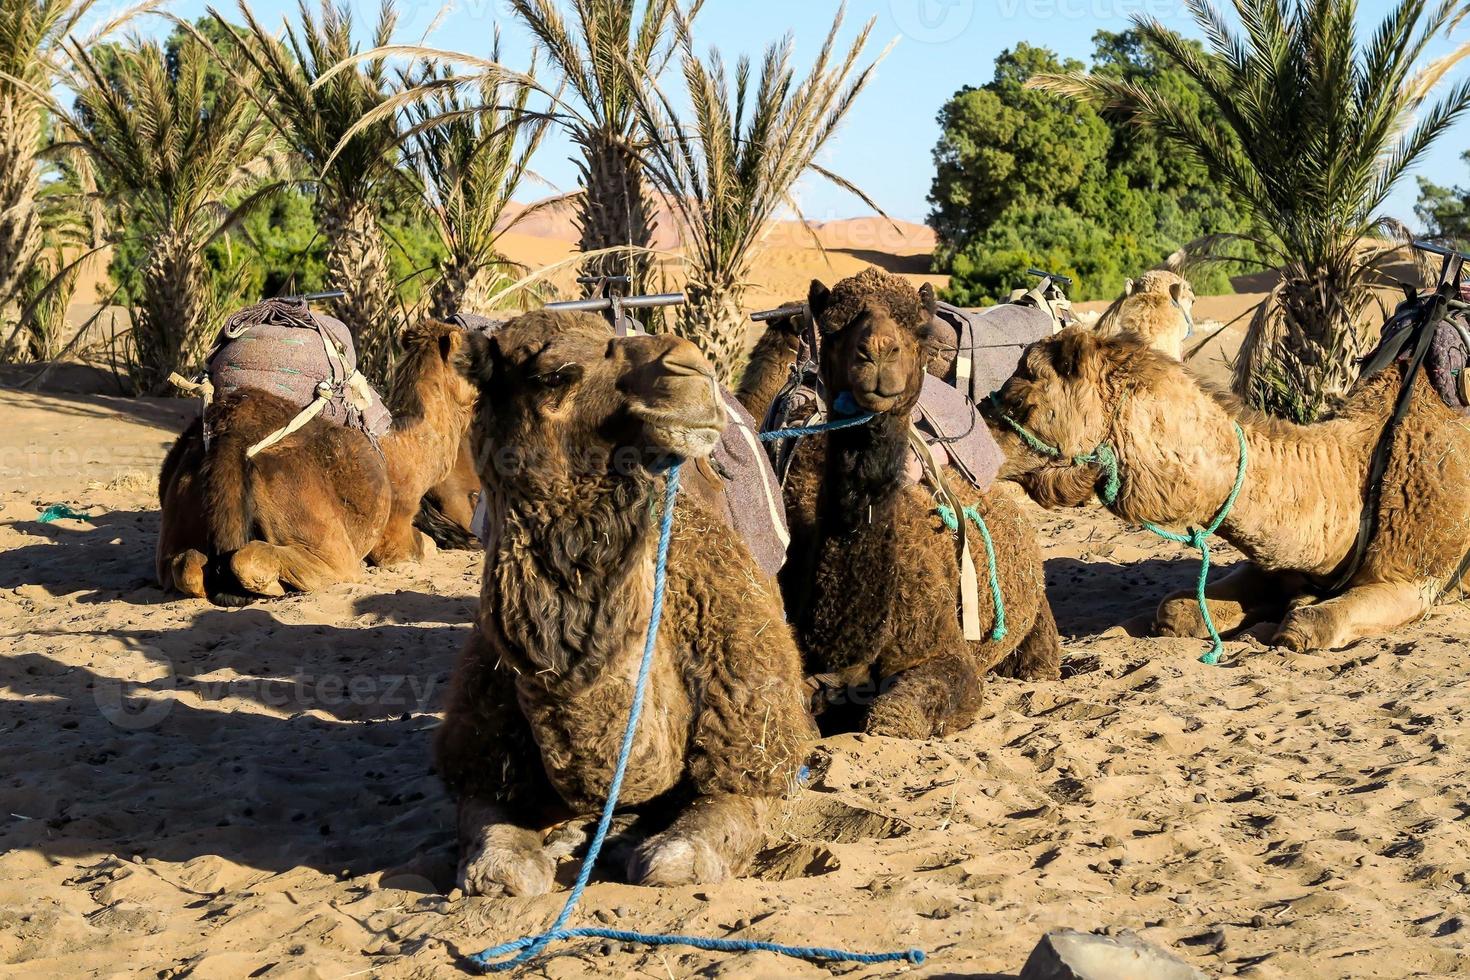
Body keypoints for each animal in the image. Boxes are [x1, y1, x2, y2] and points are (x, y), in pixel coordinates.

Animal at [160, 318, 482, 602]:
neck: (414, 444)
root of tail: (232, 438)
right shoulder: (395, 536)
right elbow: (424, 546)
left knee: (186, 564)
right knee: (262, 559)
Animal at [981, 326, 1470, 655]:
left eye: (1021, 401)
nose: (976, 442)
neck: (1355, 476)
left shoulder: (1417, 580)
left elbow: (1308, 625)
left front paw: (1302, 610)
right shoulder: (1279, 562)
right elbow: (1177, 610)